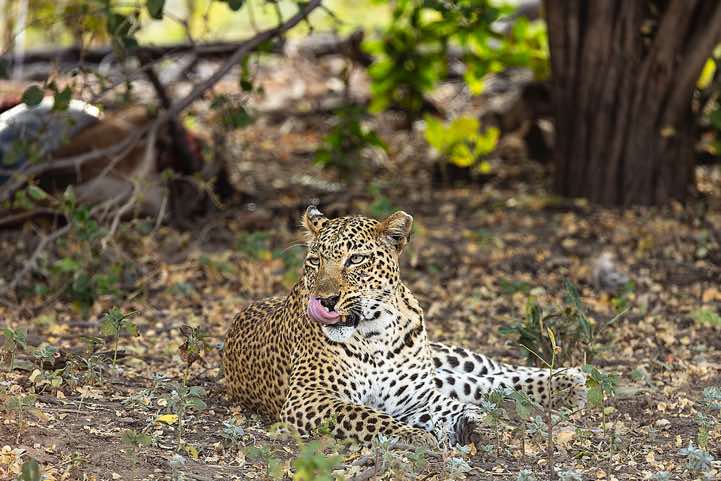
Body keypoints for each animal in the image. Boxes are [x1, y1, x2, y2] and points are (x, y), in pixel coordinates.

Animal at [223, 207, 587, 447]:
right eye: (315, 262)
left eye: (355, 259)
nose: (324, 300)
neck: (374, 333)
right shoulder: (307, 398)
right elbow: (366, 415)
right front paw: (414, 436)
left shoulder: (418, 394)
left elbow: (450, 405)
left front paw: (474, 424)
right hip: (445, 373)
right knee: (484, 383)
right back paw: (569, 384)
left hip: (445, 358)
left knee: (494, 371)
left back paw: (570, 379)